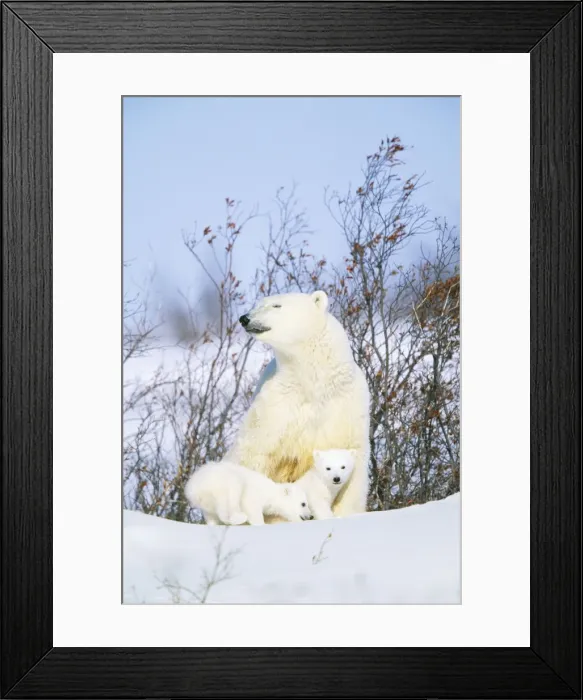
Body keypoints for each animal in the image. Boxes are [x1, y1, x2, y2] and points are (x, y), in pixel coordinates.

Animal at [184, 460, 313, 526]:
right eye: (303, 503)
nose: (311, 516)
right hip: (223, 484)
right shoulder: (254, 495)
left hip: (207, 502)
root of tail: (192, 487)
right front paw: (261, 523)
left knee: (211, 515)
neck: (270, 493)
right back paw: (239, 518)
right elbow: (252, 508)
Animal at [228, 290, 370, 520]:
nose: (245, 318)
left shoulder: (347, 406)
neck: (312, 381)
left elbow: (353, 460)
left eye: (276, 305)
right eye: (259, 303)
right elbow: (252, 452)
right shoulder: (275, 406)